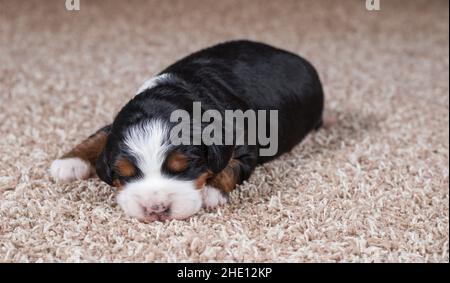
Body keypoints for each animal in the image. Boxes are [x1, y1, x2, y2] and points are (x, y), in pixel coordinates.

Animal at [50, 40, 324, 222]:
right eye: (125, 173)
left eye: (183, 168)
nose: (156, 209)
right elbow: (99, 135)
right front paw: (69, 162)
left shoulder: (245, 148)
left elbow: (231, 168)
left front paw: (211, 192)